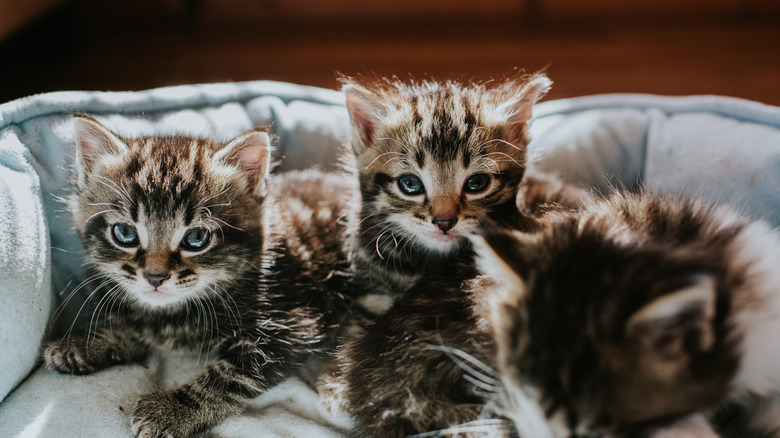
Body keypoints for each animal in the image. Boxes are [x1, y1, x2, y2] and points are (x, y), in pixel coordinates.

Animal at [43, 115, 360, 438]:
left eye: (196, 238)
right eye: (125, 233)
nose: (154, 277)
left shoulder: (292, 325)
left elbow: (230, 376)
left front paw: (172, 410)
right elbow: (138, 326)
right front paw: (85, 343)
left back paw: (338, 385)